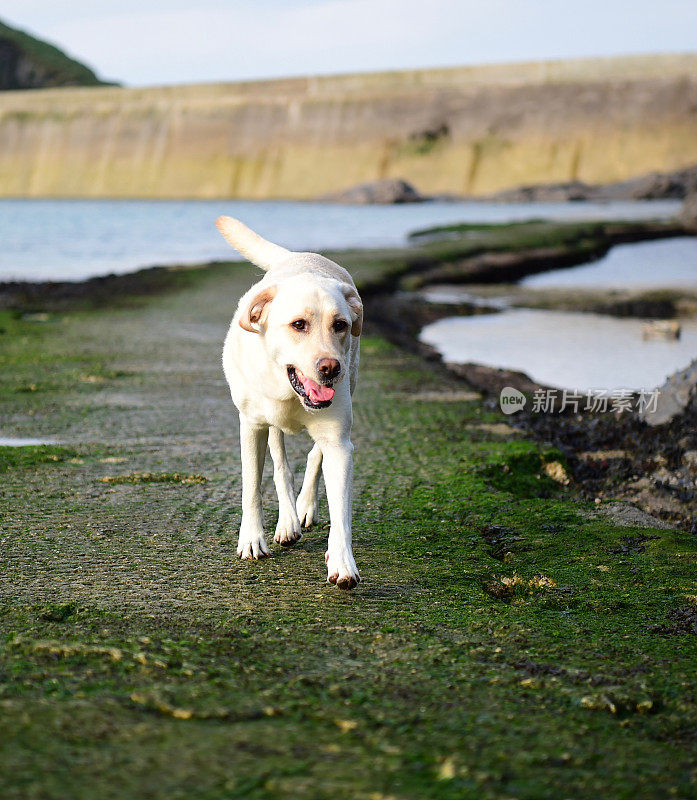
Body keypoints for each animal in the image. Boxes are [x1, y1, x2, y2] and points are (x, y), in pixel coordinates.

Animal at [215, 216, 362, 592]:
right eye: (299, 324)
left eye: (340, 325)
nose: (331, 368)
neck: (288, 390)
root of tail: (298, 256)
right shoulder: (251, 427)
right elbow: (252, 488)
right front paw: (252, 540)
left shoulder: (339, 442)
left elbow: (341, 511)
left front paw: (342, 563)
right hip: (268, 424)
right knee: (280, 463)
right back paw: (287, 522)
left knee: (313, 455)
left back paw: (304, 507)